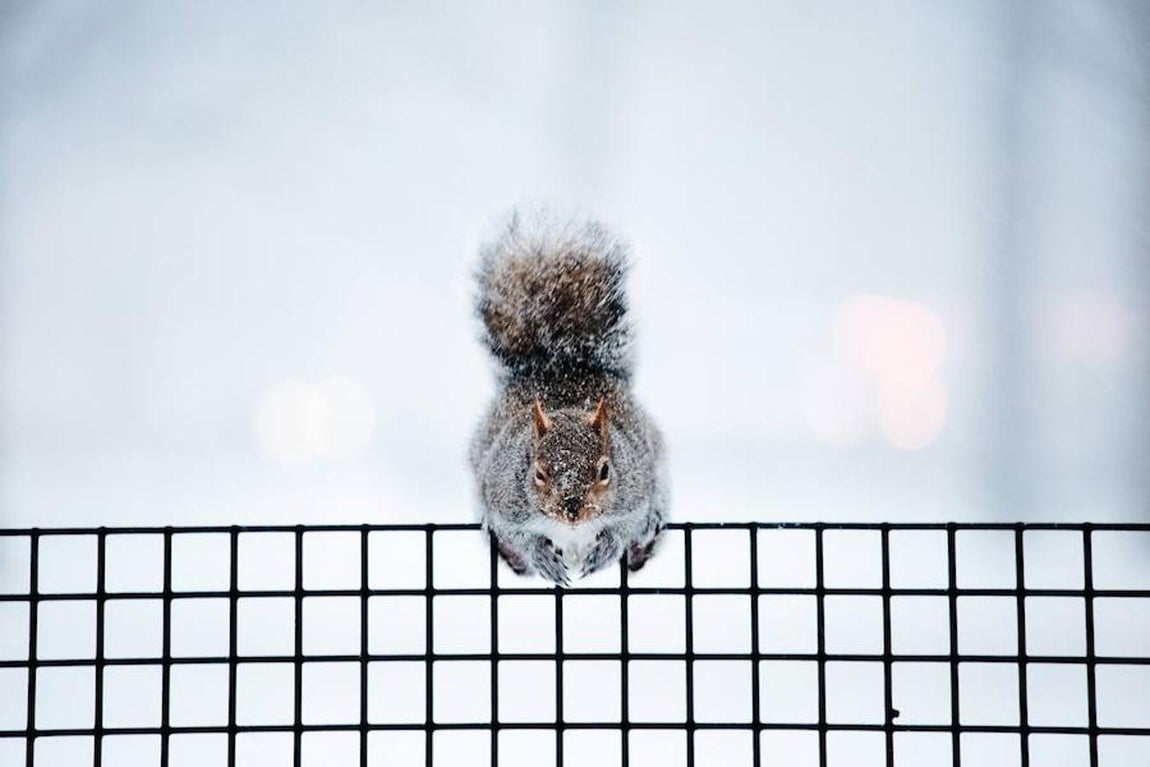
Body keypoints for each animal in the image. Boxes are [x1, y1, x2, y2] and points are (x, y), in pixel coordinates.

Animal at [469, 211, 668, 585]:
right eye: (538, 473)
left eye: (605, 470)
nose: (572, 510)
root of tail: (560, 365)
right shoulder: (504, 496)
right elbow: (519, 533)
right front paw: (539, 555)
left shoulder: (635, 490)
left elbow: (626, 524)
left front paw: (609, 548)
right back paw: (512, 557)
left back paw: (641, 545)